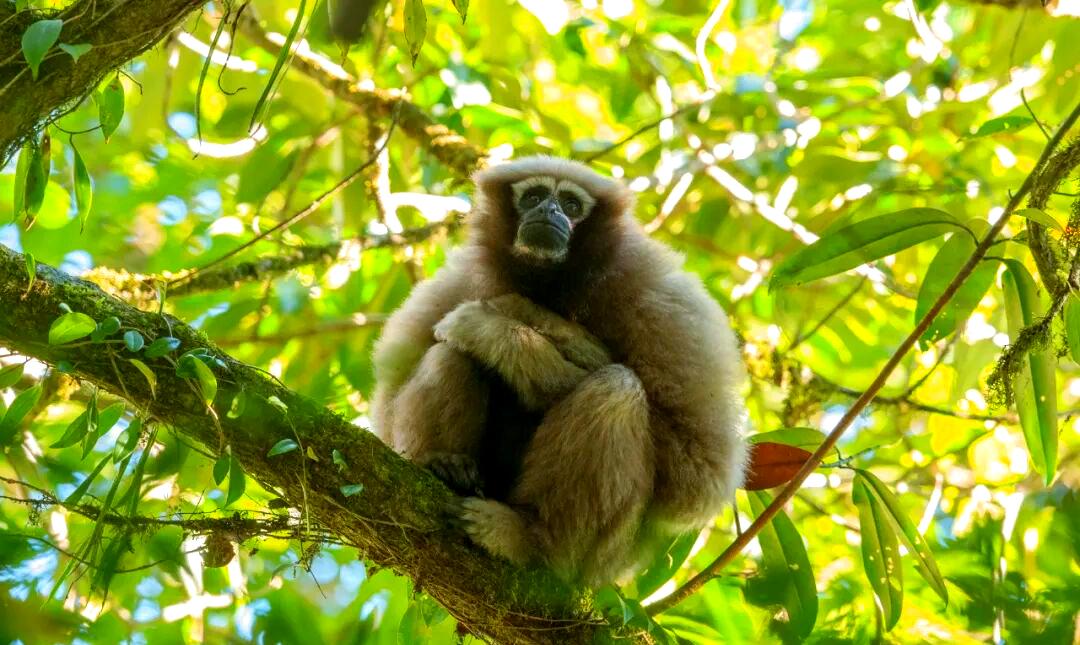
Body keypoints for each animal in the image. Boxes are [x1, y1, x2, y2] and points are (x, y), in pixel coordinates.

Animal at [371, 156, 748, 587]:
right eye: (534, 196)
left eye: (570, 204)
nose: (549, 210)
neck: (554, 285)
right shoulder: (464, 276)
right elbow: (388, 403)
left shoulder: (660, 295)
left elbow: (697, 470)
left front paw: (503, 320)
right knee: (449, 354)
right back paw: (447, 465)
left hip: (603, 559)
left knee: (616, 389)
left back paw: (532, 541)